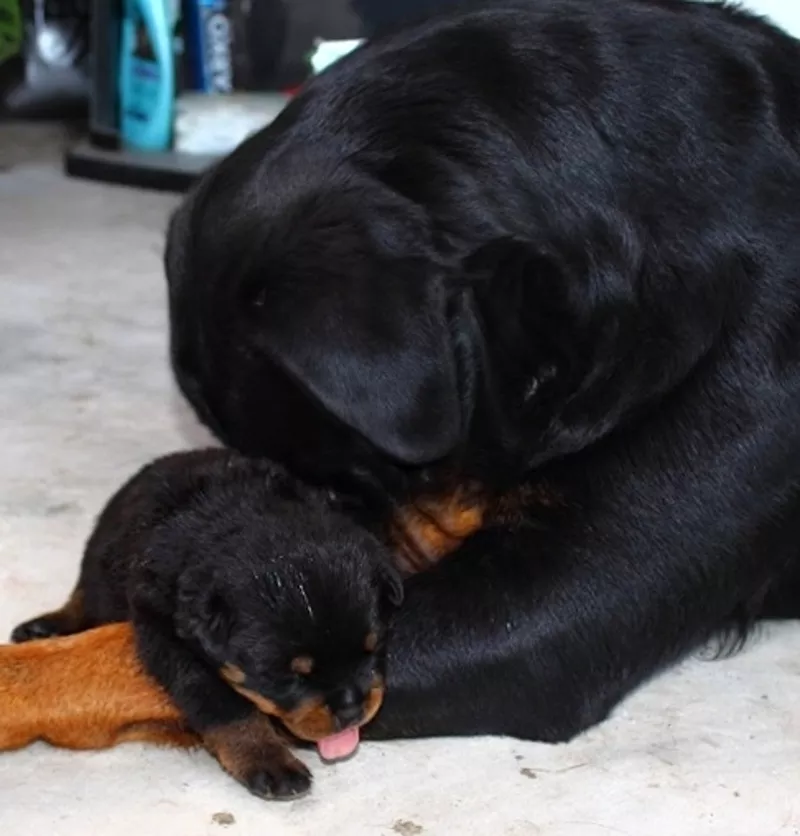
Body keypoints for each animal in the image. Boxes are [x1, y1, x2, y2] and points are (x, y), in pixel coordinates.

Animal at [17, 450, 406, 796]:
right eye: (289, 677)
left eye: (373, 650)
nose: (352, 709)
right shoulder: (165, 630)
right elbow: (222, 702)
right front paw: (266, 758)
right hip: (99, 555)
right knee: (83, 593)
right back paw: (44, 627)